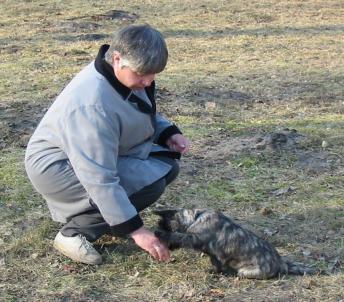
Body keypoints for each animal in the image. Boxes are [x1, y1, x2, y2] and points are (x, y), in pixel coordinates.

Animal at [154, 209, 320, 280]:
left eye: (164, 225)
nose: (157, 230)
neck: (196, 217)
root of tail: (281, 263)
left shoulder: (195, 238)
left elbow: (179, 236)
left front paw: (162, 234)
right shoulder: (214, 255)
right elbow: (217, 264)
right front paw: (216, 271)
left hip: (246, 272)